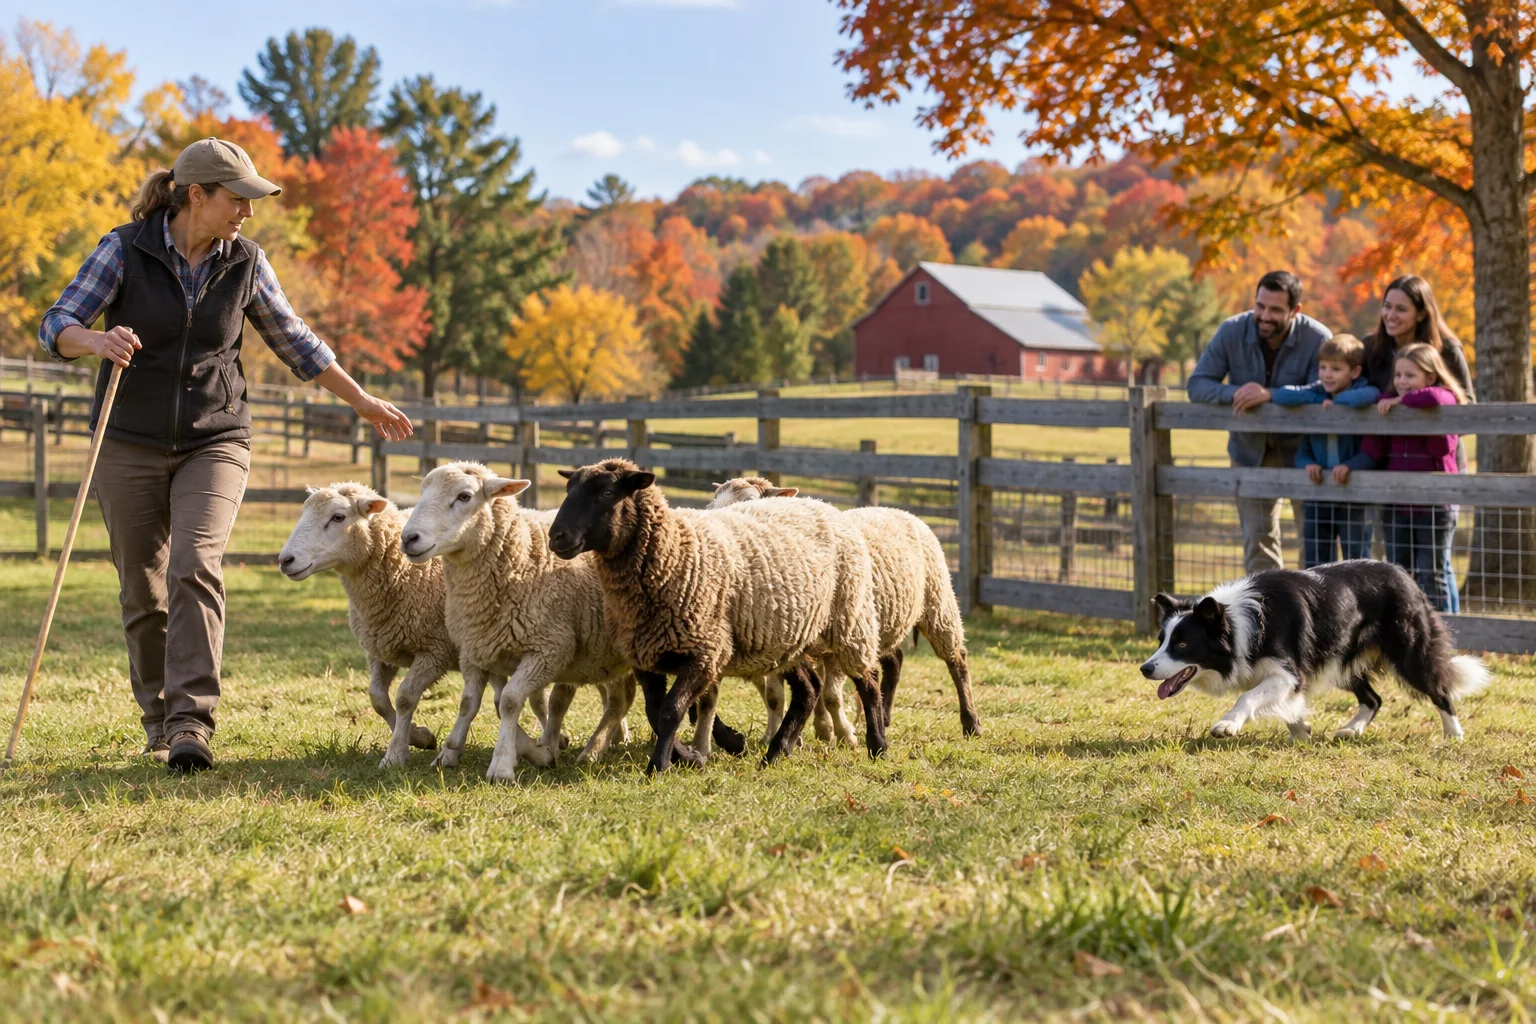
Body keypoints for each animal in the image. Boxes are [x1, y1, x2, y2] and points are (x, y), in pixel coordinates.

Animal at [277, 483, 548, 769]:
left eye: (338, 517)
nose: (285, 560)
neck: (403, 572)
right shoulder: (382, 650)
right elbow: (378, 699)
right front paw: (418, 737)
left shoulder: (435, 651)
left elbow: (405, 697)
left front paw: (395, 753)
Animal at [547, 458, 885, 774]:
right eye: (569, 489)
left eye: (607, 493)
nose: (556, 536)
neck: (675, 553)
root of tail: (821, 504)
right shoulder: (646, 656)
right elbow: (657, 711)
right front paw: (692, 756)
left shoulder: (704, 652)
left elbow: (672, 709)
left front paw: (660, 765)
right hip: (790, 636)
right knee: (809, 688)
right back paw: (776, 751)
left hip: (850, 620)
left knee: (868, 679)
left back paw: (877, 745)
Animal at [707, 476, 981, 741]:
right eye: (713, 503)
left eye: (749, 502)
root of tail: (897, 510)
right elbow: (776, 696)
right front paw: (789, 733)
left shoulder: (832, 642)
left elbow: (830, 695)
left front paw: (842, 734)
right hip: (878, 624)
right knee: (895, 660)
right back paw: (885, 717)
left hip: (936, 604)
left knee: (957, 660)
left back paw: (971, 723)